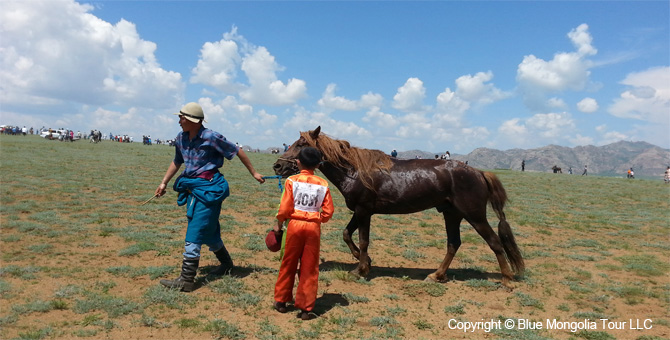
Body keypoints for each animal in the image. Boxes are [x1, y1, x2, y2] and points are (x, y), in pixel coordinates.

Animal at [272, 127, 524, 286]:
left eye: (302, 144)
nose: (277, 166)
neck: (354, 171)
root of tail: (479, 173)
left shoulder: (364, 211)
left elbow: (363, 240)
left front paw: (360, 269)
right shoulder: (360, 211)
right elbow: (346, 234)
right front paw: (365, 261)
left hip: (475, 216)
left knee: (494, 242)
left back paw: (506, 279)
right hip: (452, 215)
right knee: (454, 244)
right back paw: (437, 275)